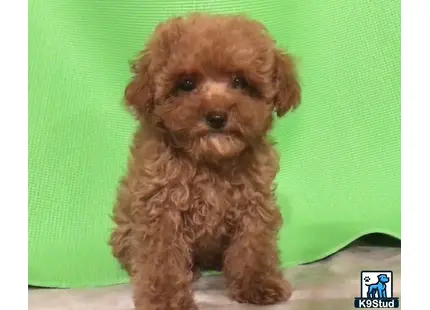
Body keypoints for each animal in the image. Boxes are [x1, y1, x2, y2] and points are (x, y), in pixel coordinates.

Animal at [109, 12, 300, 310]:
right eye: (187, 84)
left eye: (240, 82)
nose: (217, 116)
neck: (210, 160)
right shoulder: (160, 207)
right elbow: (162, 256)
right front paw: (166, 298)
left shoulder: (254, 202)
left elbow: (254, 244)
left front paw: (258, 284)